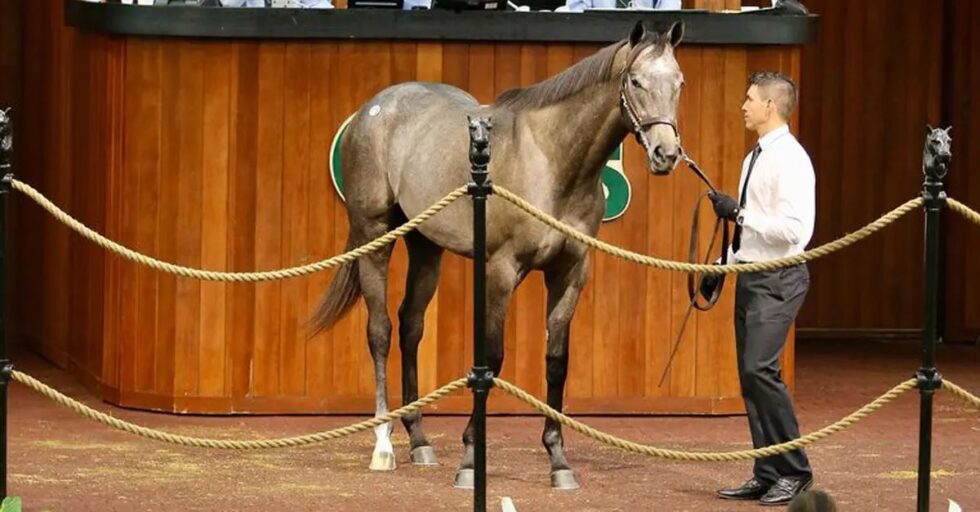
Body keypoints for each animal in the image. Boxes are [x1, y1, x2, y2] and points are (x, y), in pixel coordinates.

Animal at [318, 21, 684, 488]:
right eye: (636, 82)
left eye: (679, 83)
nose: (666, 154)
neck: (551, 161)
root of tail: (373, 109)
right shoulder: (501, 271)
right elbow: (491, 360)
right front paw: (470, 459)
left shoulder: (571, 273)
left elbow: (556, 361)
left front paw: (558, 461)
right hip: (375, 235)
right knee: (379, 330)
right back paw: (383, 444)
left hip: (425, 245)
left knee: (410, 326)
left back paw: (419, 440)